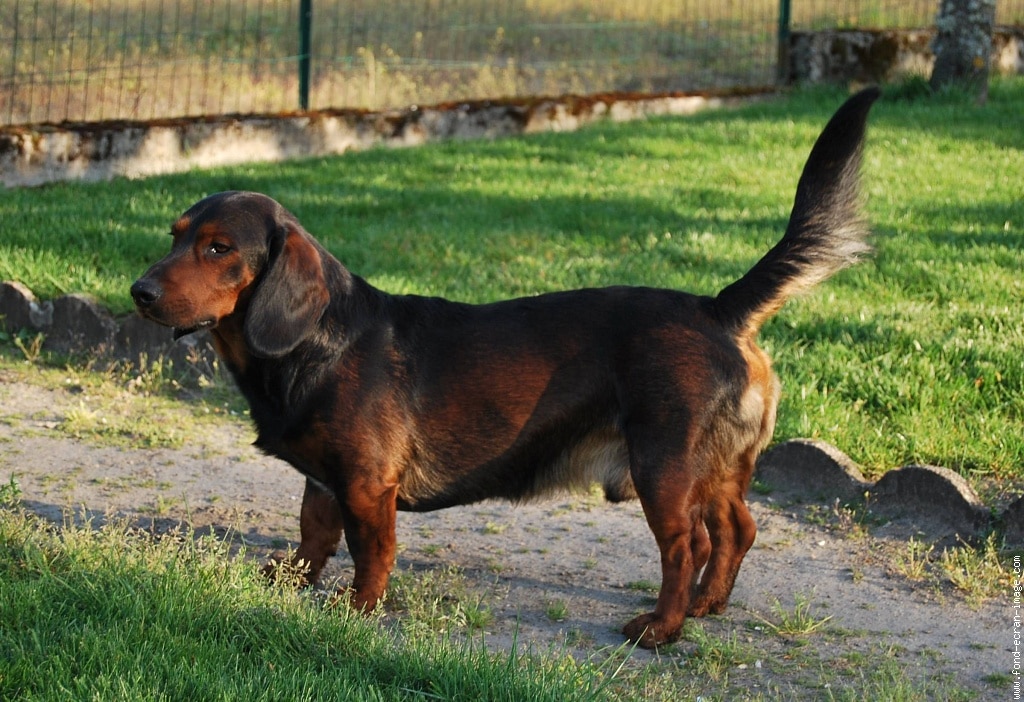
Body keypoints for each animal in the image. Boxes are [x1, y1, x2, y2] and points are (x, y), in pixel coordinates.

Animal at [130, 86, 880, 650]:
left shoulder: (369, 487)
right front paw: (290, 579)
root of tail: (717, 309)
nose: (138, 292)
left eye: (219, 248)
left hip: (663, 467)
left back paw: (662, 628)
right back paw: (706, 608)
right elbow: (315, 532)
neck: (316, 342)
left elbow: (371, 552)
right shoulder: (324, 478)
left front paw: (358, 608)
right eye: (174, 237)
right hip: (715, 468)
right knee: (736, 530)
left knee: (685, 546)